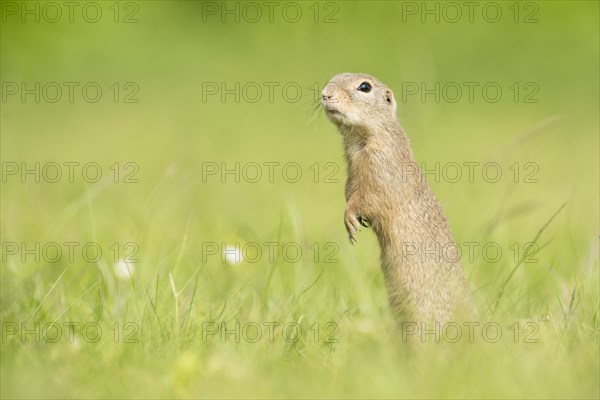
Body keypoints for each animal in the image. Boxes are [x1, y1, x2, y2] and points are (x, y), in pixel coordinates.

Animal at [322, 73, 472, 326]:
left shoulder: (381, 171)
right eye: (332, 78)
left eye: (365, 87)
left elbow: (367, 199)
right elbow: (350, 193)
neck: (358, 143)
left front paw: (350, 221)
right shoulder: (352, 177)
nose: (325, 94)